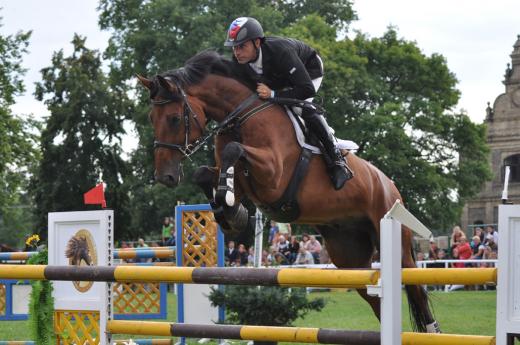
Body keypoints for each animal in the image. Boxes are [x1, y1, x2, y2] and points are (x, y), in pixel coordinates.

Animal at [137, 49, 438, 332]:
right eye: (151, 117)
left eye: (174, 118)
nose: (164, 176)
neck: (240, 118)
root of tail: (391, 187)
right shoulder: (242, 180)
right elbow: (207, 174)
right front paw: (230, 214)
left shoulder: (273, 175)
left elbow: (235, 150)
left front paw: (231, 209)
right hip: (349, 256)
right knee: (375, 298)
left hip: (395, 241)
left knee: (417, 290)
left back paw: (432, 330)